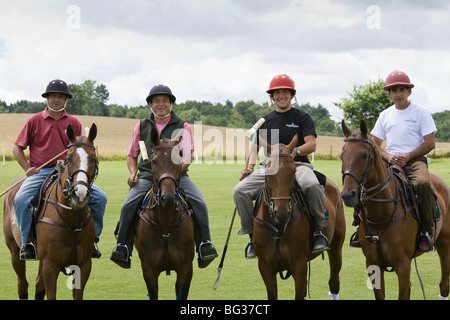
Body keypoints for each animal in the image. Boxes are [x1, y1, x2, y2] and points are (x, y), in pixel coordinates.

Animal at [2, 123, 97, 300]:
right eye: (68, 159)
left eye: (94, 159)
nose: (80, 194)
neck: (71, 220)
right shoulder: (50, 264)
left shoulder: (84, 264)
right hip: (14, 251)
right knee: (22, 284)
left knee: (38, 285)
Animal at [135, 127, 195, 300]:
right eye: (154, 161)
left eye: (179, 160)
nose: (168, 198)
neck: (166, 224)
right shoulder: (148, 270)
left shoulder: (185, 269)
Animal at [253, 134, 344, 298]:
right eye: (268, 171)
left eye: (293, 170)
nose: (282, 213)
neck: (278, 228)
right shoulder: (265, 267)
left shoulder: (300, 264)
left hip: (336, 247)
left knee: (334, 281)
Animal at [342, 120, 450, 300]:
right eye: (341, 156)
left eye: (364, 155)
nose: (347, 195)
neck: (381, 214)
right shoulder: (372, 264)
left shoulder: (403, 265)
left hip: (444, 243)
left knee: (444, 285)